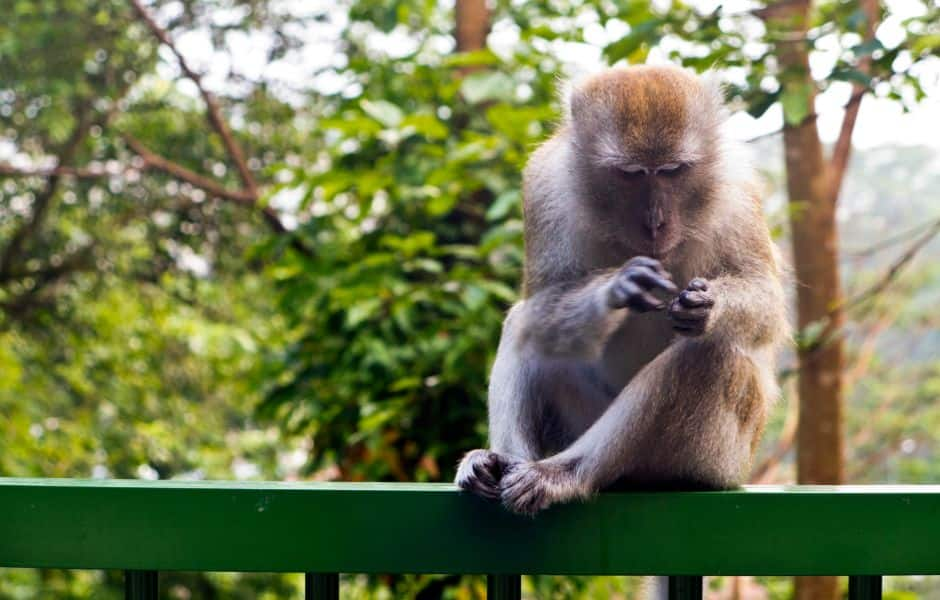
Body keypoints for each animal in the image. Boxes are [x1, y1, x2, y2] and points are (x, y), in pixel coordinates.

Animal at [454, 65, 784, 516]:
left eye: (673, 170)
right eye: (630, 174)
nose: (655, 223)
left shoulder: (739, 188)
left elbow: (766, 303)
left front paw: (709, 306)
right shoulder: (545, 183)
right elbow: (541, 303)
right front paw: (617, 287)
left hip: (714, 458)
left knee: (709, 352)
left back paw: (567, 473)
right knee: (527, 325)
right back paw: (501, 462)